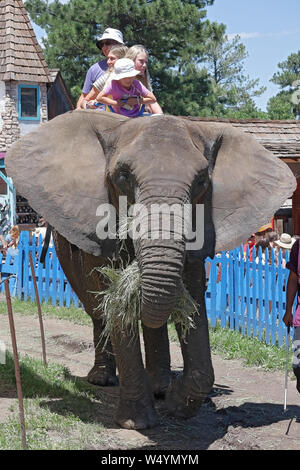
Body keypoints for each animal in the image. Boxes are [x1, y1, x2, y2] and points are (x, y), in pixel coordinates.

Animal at [5, 110, 296, 430]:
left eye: (201, 181)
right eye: (123, 176)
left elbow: (192, 298)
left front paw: (177, 403)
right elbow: (117, 299)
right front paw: (137, 423)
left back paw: (160, 387)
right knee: (96, 307)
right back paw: (103, 379)